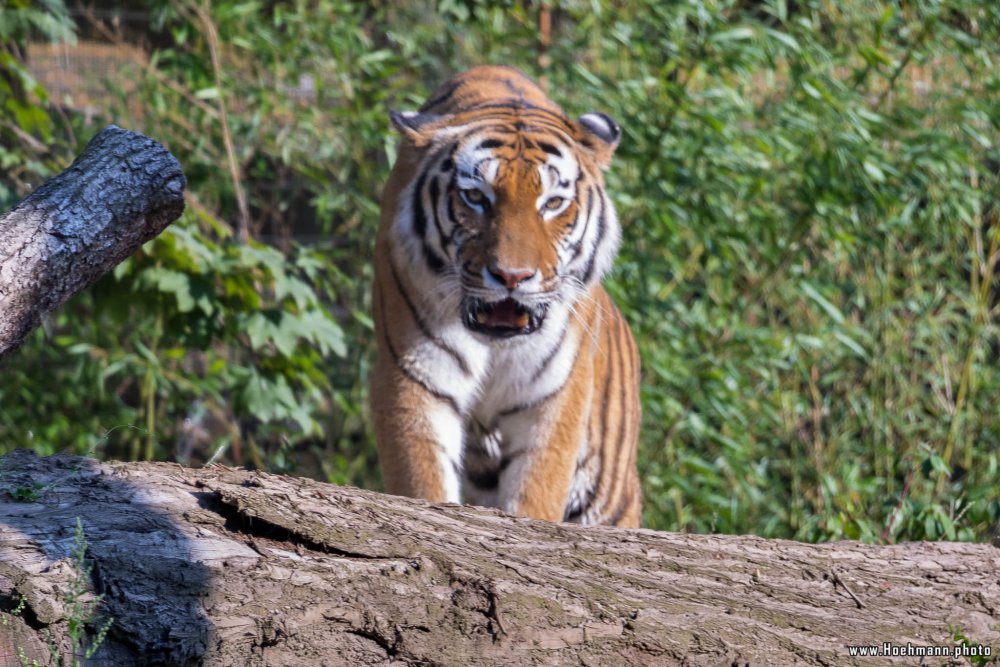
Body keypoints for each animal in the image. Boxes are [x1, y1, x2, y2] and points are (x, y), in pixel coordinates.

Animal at [374, 66, 640, 528]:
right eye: (476, 197)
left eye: (553, 203)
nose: (512, 276)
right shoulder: (414, 376)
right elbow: (423, 479)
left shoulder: (554, 398)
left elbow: (536, 489)